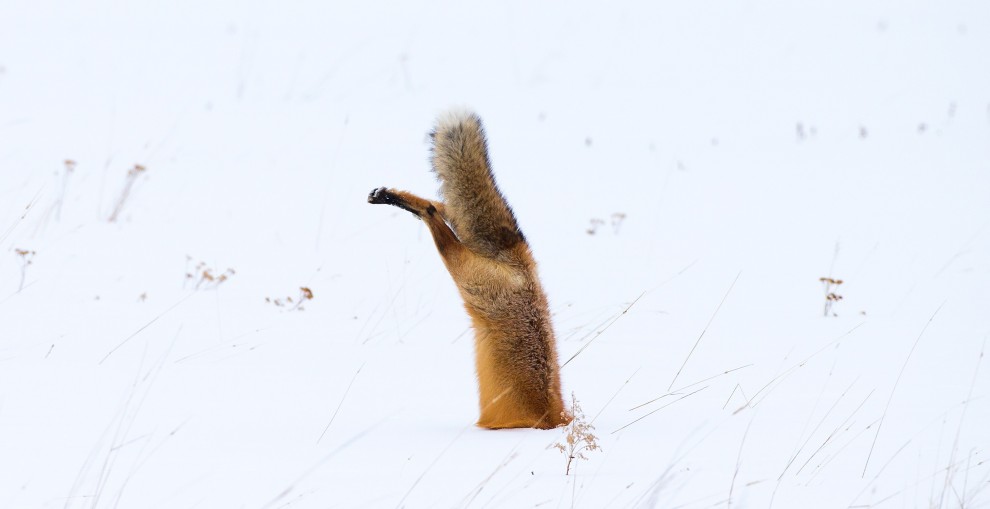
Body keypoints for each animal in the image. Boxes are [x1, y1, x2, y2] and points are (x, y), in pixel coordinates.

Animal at [368, 110, 571, 430]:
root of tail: (522, 261)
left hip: (468, 277)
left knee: (439, 208)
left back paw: (390, 195)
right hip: (464, 273)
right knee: (435, 213)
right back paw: (395, 198)